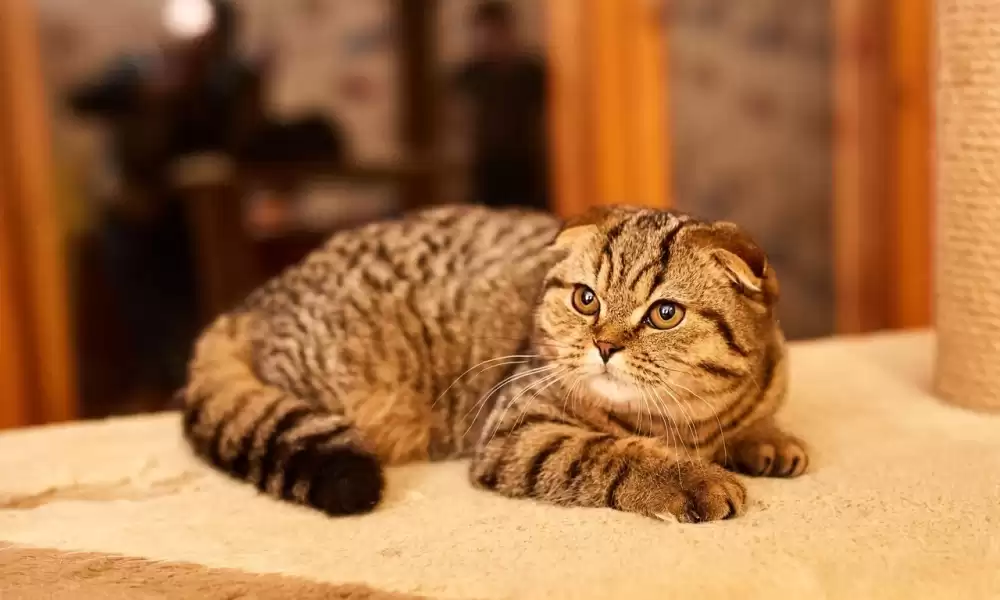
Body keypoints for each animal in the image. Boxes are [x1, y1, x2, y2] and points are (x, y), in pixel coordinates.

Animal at [184, 204, 808, 524]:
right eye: (586, 300)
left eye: (664, 313)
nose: (604, 345)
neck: (687, 420)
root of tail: (253, 301)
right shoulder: (518, 432)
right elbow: (616, 454)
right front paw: (693, 479)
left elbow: (754, 421)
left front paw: (767, 440)